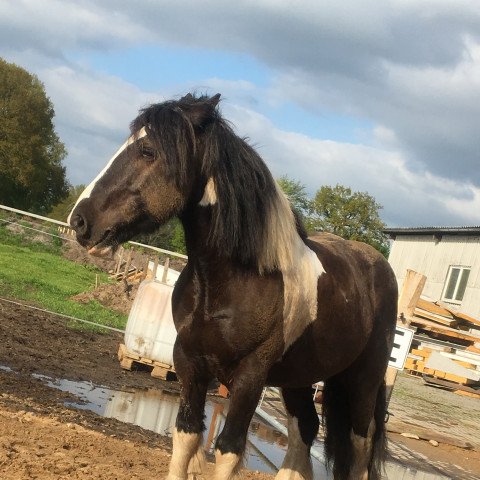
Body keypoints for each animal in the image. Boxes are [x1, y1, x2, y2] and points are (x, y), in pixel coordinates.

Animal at [68, 94, 398, 480]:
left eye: (148, 150)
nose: (80, 220)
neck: (231, 282)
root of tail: (378, 266)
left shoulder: (250, 378)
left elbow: (228, 448)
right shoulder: (190, 362)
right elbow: (186, 435)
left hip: (362, 382)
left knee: (359, 447)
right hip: (299, 379)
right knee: (304, 431)